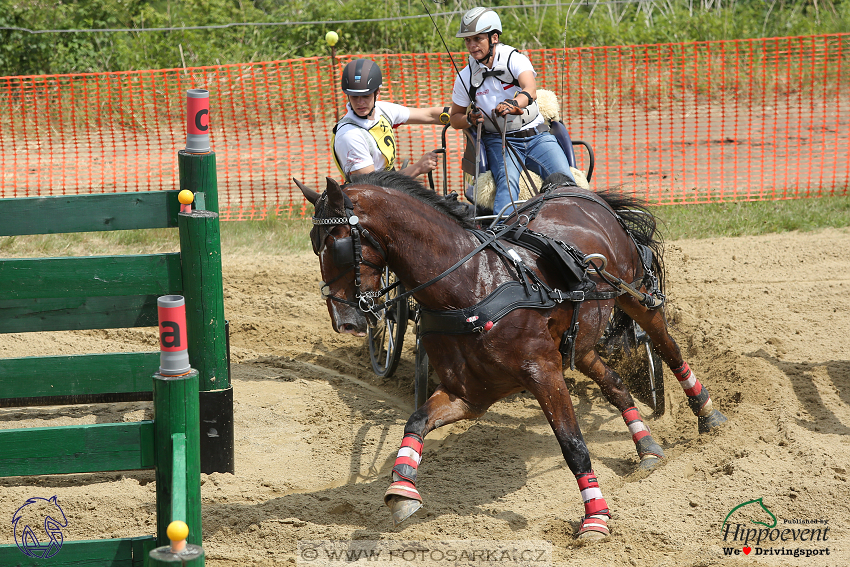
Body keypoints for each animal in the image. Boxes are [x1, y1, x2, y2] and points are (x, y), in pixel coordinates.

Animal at [296, 172, 724, 540]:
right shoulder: (469, 394)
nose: (344, 321)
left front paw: (596, 518)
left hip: (635, 295)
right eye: (314, 245)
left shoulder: (544, 374)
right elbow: (415, 422)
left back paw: (707, 412)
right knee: (614, 383)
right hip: (580, 340)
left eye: (335, 242)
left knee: (669, 349)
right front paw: (402, 489)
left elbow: (573, 446)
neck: (468, 286)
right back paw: (646, 446)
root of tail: (573, 190)